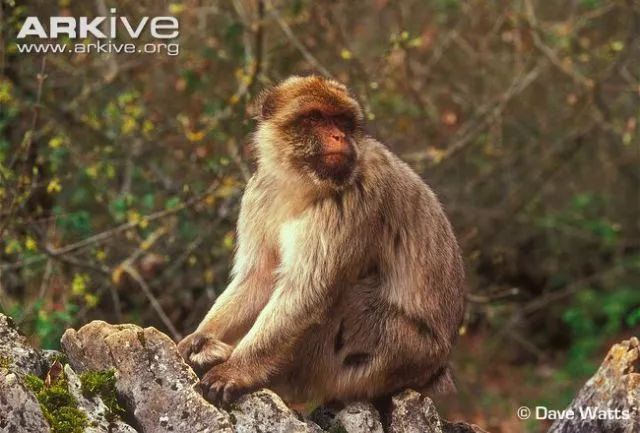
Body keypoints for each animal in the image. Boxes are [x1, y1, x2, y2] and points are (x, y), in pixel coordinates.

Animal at [178, 75, 468, 404]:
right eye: (315, 118)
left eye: (342, 121)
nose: (339, 136)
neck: (302, 182)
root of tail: (438, 369)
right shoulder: (259, 193)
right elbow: (259, 277)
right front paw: (200, 336)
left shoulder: (355, 196)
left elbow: (307, 292)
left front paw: (236, 370)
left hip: (400, 352)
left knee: (350, 301)